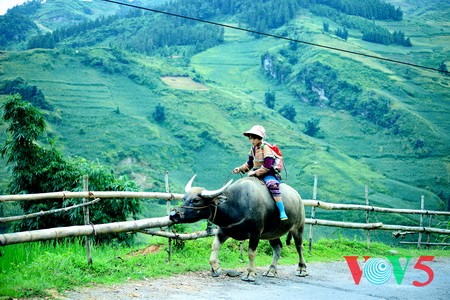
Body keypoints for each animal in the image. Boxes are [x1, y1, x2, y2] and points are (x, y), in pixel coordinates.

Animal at [171, 173, 308, 282]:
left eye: (196, 200)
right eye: (184, 198)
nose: (173, 215)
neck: (236, 204)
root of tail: (298, 197)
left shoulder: (255, 233)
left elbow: (251, 253)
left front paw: (250, 274)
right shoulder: (223, 230)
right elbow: (215, 246)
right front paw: (215, 268)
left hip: (298, 227)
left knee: (299, 247)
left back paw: (302, 269)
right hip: (272, 233)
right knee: (278, 247)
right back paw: (271, 270)